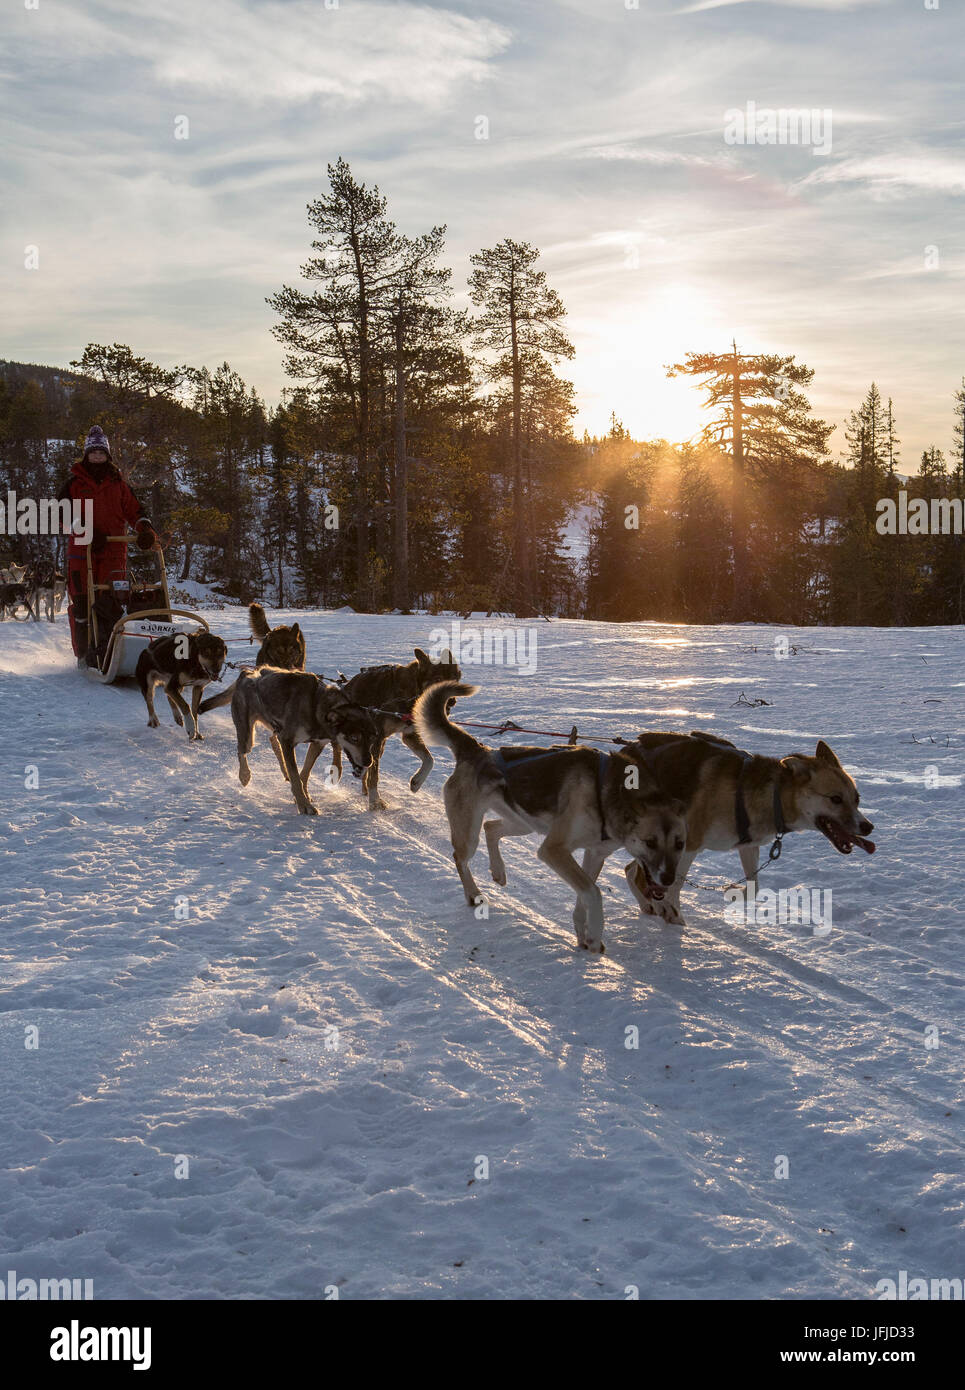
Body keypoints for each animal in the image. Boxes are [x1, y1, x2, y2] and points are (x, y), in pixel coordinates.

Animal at [228, 669, 380, 817]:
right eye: (354, 738)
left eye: (372, 738)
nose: (369, 762)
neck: (316, 706)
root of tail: (247, 673)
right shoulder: (287, 741)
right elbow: (296, 778)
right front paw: (304, 805)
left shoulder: (317, 744)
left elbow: (305, 772)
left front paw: (303, 795)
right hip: (248, 736)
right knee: (241, 751)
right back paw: (244, 775)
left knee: (273, 743)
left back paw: (283, 772)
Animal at [305, 644, 464, 811]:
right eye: (438, 679)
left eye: (455, 680)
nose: (451, 701)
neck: (409, 693)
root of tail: (345, 686)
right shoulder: (378, 737)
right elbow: (374, 775)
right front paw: (374, 801)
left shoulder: (409, 735)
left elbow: (429, 760)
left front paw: (417, 782)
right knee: (339, 748)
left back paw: (364, 785)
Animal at [414, 683, 686, 956]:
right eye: (650, 842)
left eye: (680, 844)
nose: (669, 879)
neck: (604, 792)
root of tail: (478, 749)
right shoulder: (553, 850)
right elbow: (594, 892)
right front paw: (594, 934)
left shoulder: (594, 853)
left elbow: (585, 894)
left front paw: (584, 935)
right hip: (471, 834)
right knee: (461, 858)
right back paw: (473, 894)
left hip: (522, 823)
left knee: (490, 827)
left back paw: (498, 870)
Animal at [622, 733, 878, 928]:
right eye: (835, 799)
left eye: (857, 799)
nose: (868, 826)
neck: (773, 798)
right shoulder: (688, 846)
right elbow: (674, 885)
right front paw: (673, 914)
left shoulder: (747, 846)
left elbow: (754, 886)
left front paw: (732, 890)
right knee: (639, 873)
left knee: (631, 870)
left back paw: (649, 904)